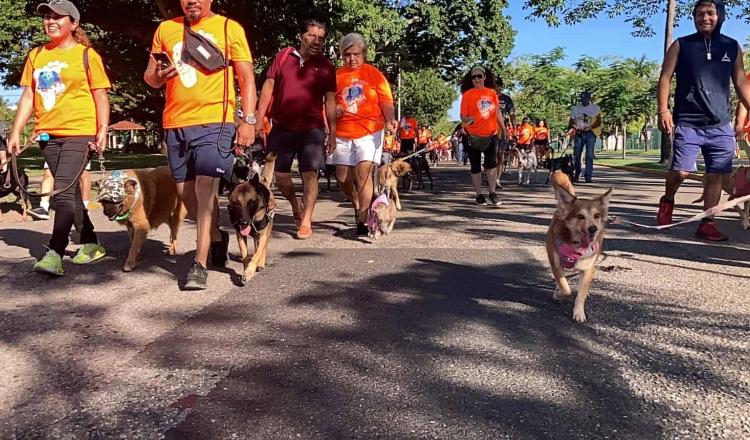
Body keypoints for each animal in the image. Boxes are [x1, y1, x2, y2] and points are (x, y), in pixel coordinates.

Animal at [229, 150, 280, 284]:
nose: (244, 222)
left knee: (262, 247)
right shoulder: (240, 236)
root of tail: (262, 182)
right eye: (236, 203)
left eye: (251, 202)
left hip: (266, 231)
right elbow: (245, 256)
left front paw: (250, 271)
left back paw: (261, 263)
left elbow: (257, 254)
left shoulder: (263, 234)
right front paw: (246, 270)